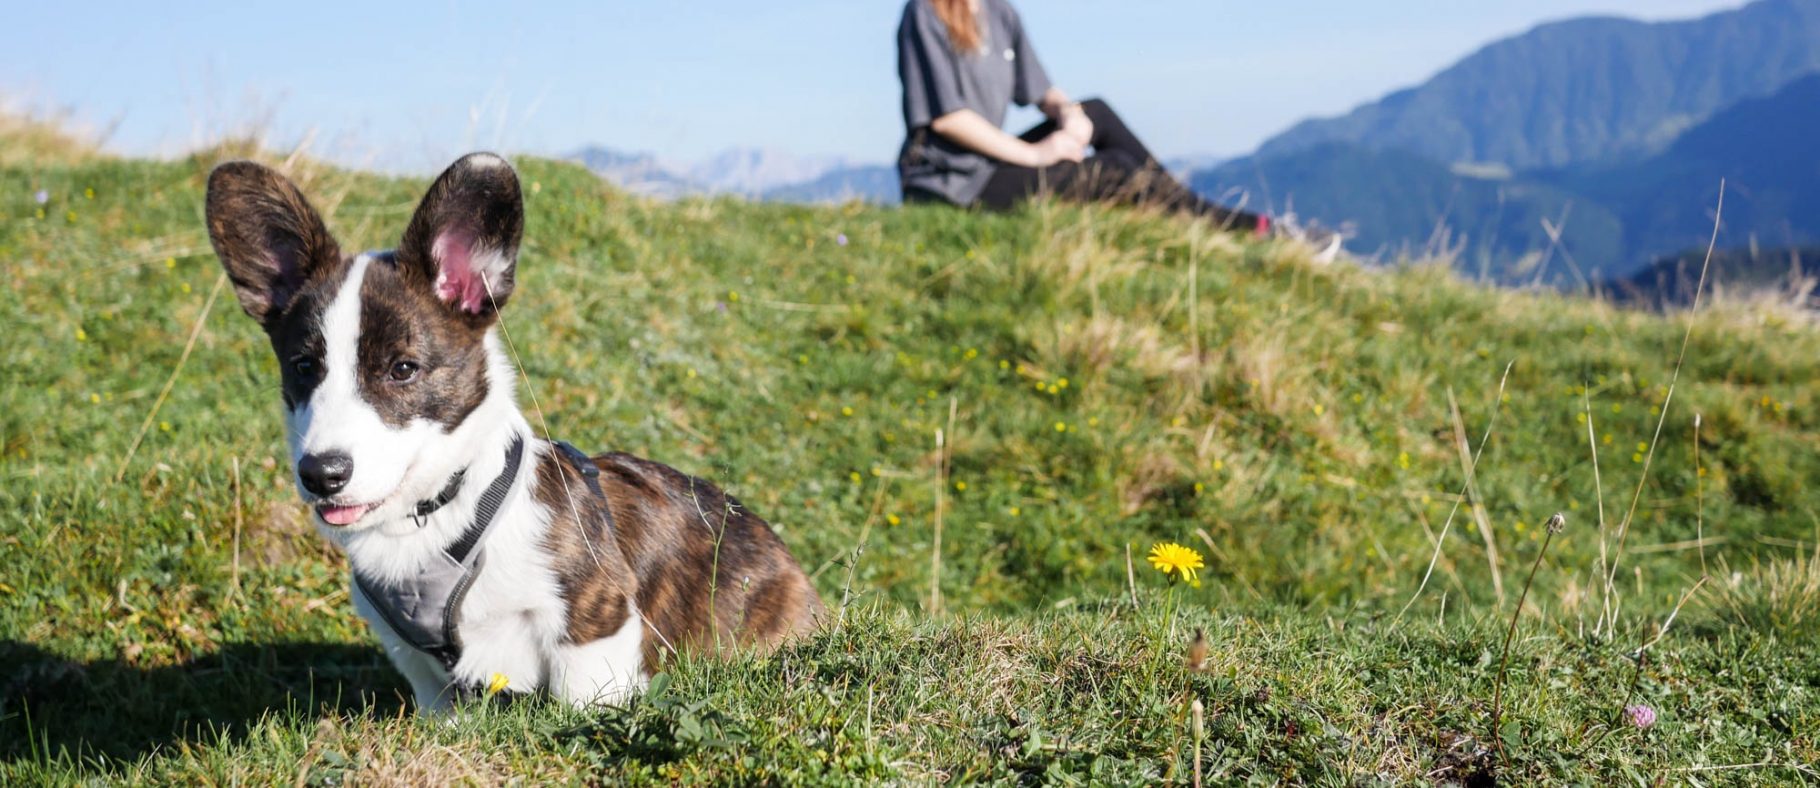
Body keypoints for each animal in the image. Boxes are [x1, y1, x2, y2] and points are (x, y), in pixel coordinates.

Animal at [202, 150, 822, 709]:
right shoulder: (424, 674)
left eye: (403, 369)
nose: (321, 475)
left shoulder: (592, 631)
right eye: (304, 367)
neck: (437, 511)